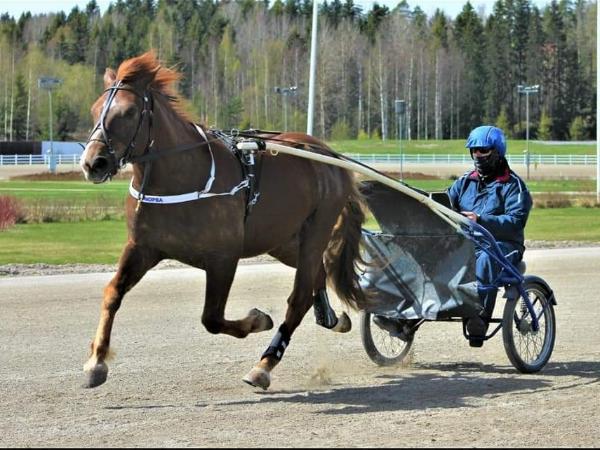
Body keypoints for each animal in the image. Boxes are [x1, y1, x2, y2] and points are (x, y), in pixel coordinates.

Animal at [79, 51, 368, 391]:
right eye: (95, 109)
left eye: (128, 111)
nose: (93, 163)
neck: (181, 176)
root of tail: (329, 155)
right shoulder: (142, 247)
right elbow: (113, 293)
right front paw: (96, 361)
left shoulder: (223, 257)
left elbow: (212, 318)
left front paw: (258, 319)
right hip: (283, 240)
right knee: (315, 276)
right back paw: (332, 319)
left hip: (317, 229)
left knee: (298, 298)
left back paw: (264, 366)